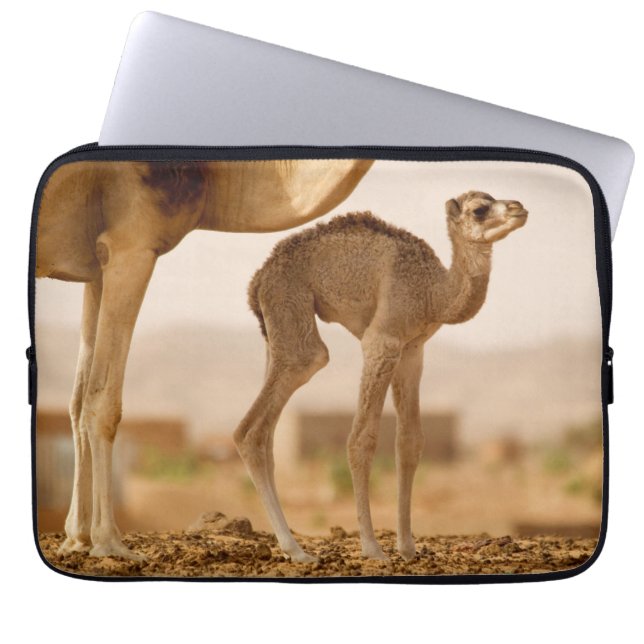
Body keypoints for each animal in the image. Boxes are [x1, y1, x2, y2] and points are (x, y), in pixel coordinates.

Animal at [36, 158, 373, 560]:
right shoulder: (131, 245)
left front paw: (77, 538)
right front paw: (109, 542)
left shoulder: (96, 266)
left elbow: (77, 400)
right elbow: (103, 401)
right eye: (310, 357)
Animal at [236, 191, 528, 562]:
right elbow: (361, 439)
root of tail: (257, 280)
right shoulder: (382, 341)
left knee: (268, 433)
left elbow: (410, 441)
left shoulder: (413, 349)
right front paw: (372, 547)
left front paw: (407, 547)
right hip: (291, 308)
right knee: (260, 420)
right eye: (479, 209)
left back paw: (290, 545)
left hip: (275, 332)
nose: (519, 208)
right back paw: (297, 550)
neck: (433, 293)